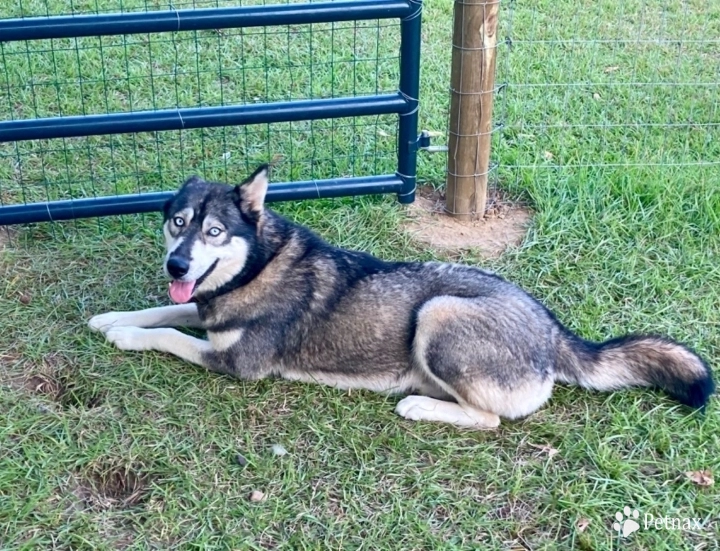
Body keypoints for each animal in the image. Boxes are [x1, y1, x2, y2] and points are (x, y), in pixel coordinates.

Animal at [88, 165, 716, 432]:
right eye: (177, 223)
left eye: (214, 232)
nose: (176, 264)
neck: (255, 266)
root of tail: (554, 332)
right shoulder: (201, 304)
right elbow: (169, 309)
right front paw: (109, 317)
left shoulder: (236, 362)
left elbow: (170, 332)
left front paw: (125, 335)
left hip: (438, 314)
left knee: (491, 420)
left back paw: (420, 405)